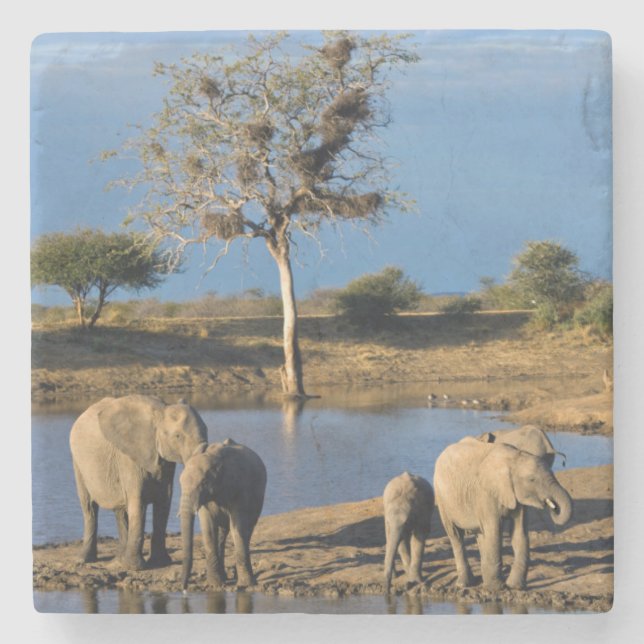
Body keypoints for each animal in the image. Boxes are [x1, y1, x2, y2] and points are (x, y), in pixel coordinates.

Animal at [69, 394, 209, 570]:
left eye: (207, 430)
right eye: (178, 436)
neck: (160, 412)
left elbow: (164, 503)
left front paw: (160, 562)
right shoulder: (128, 457)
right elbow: (139, 502)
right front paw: (134, 567)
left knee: (120, 509)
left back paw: (119, 560)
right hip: (78, 463)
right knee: (89, 507)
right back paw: (84, 560)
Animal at [180, 438, 267, 591]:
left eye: (204, 482)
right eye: (179, 482)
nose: (183, 588)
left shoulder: (240, 489)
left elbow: (238, 527)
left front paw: (245, 585)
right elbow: (208, 529)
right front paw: (215, 584)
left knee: (247, 531)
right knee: (221, 533)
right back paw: (224, 577)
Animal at [433, 436, 572, 590]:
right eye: (532, 479)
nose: (554, 508)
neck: (515, 459)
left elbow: (519, 532)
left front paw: (515, 586)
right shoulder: (486, 493)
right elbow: (495, 532)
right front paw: (496, 588)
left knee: (480, 533)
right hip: (442, 498)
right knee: (456, 535)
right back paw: (464, 584)